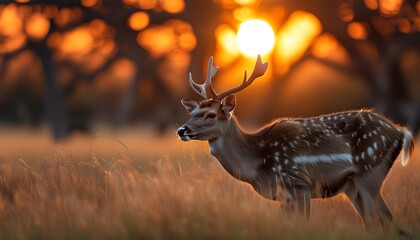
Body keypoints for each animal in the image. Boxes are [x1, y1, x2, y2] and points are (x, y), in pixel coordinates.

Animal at [176, 55, 414, 230]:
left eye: (211, 115)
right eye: (193, 112)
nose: (182, 130)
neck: (259, 165)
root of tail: (402, 132)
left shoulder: (300, 184)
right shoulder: (284, 196)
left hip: (370, 173)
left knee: (385, 218)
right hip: (352, 185)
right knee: (375, 221)